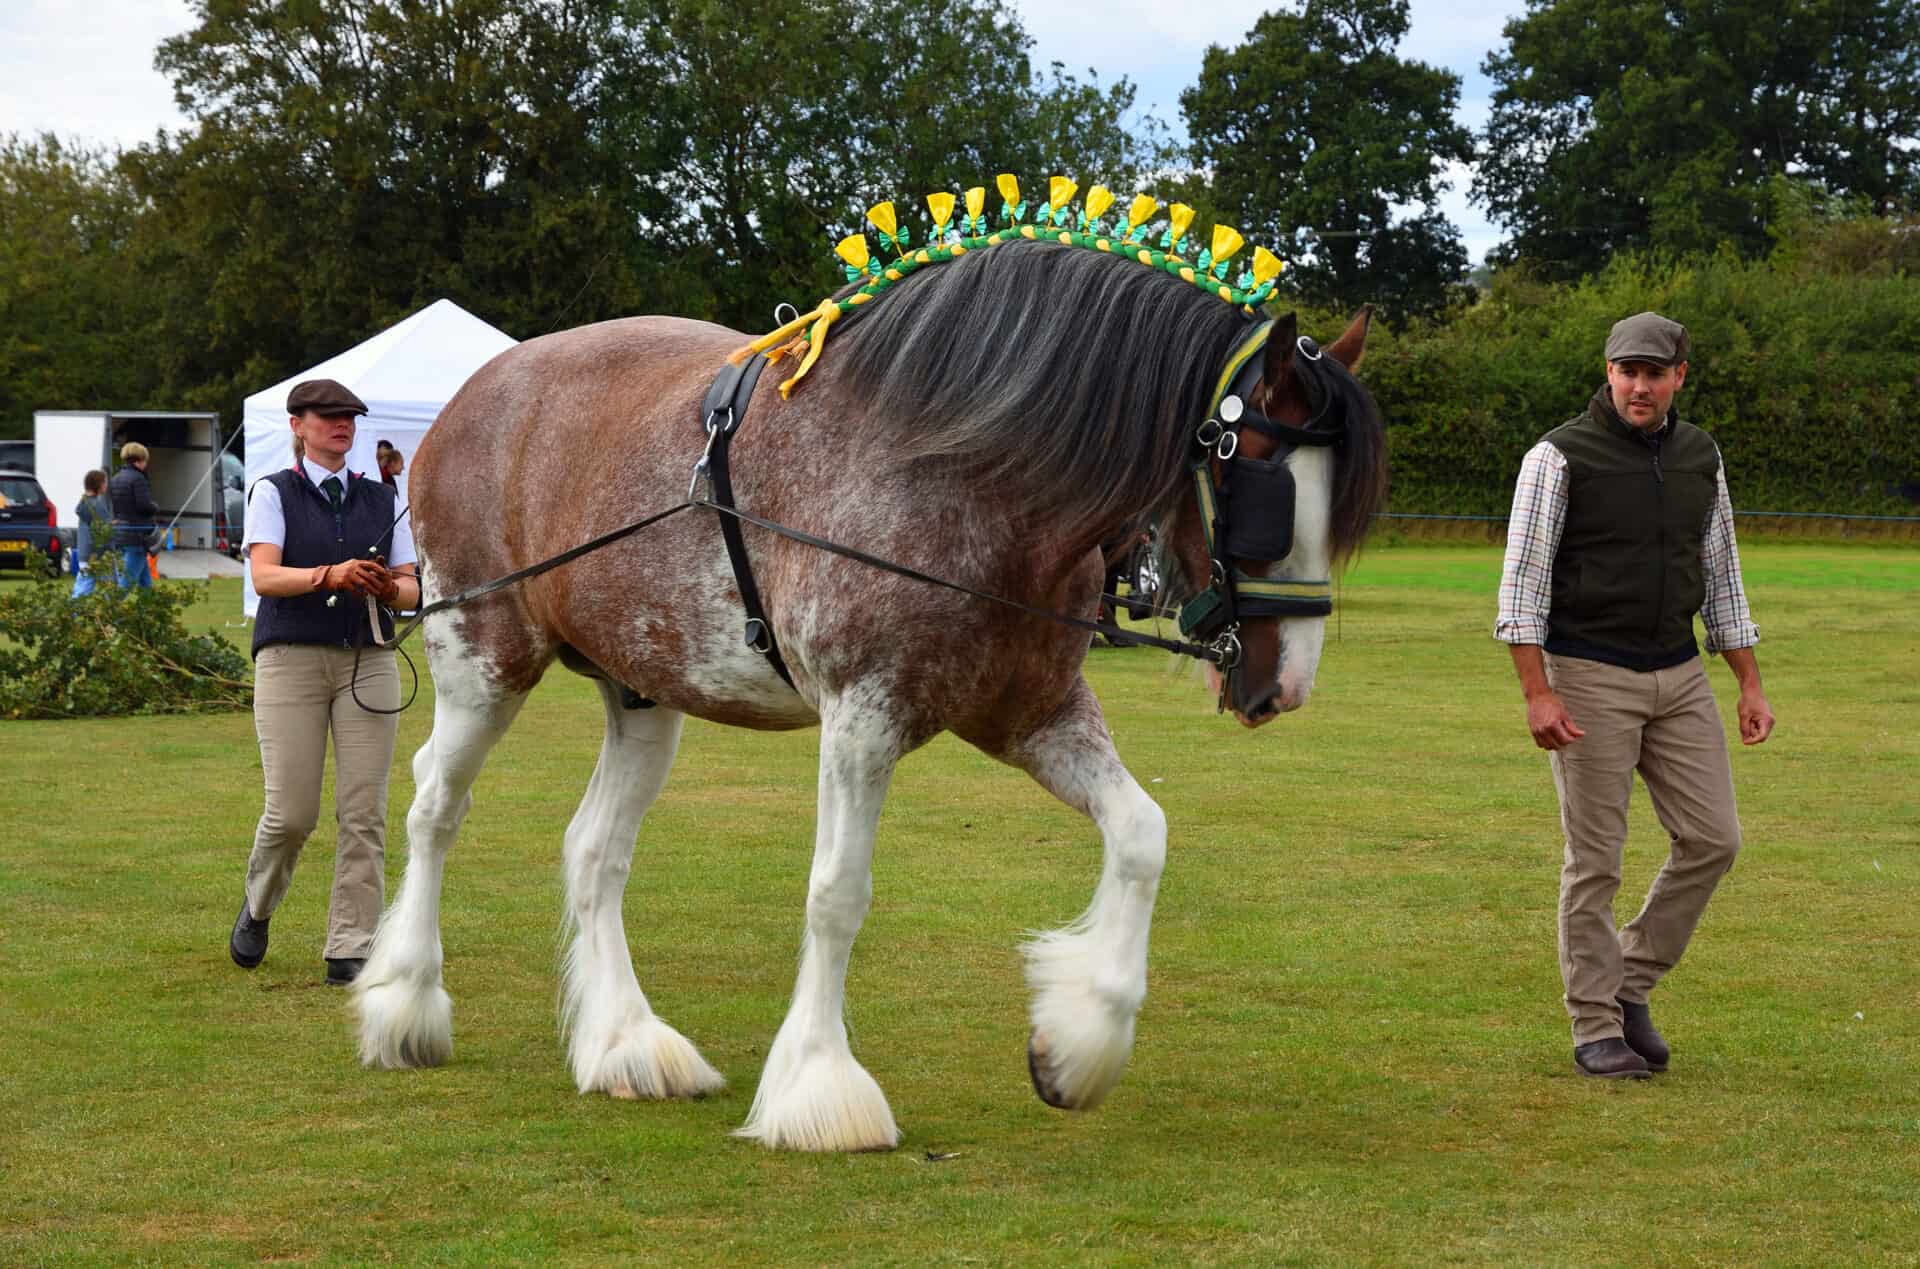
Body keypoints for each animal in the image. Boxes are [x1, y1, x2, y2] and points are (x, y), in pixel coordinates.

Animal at [353, 238, 1390, 1151]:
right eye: (1263, 490)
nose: (1284, 682)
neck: (971, 476)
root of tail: (475, 394)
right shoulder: (862, 718)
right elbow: (837, 894)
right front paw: (820, 1087)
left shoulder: (1032, 715)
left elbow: (1143, 833)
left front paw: (1078, 1044)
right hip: (482, 660)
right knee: (434, 805)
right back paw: (404, 1004)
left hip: (643, 692)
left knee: (594, 851)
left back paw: (625, 1044)